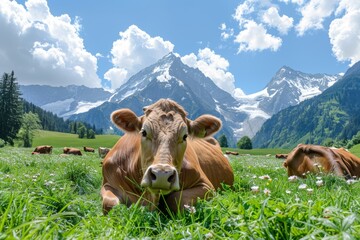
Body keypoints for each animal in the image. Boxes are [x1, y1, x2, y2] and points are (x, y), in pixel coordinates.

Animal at [100, 98, 233, 215]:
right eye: (144, 132)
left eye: (185, 136)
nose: (161, 175)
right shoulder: (108, 183)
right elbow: (109, 203)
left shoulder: (206, 186)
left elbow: (175, 199)